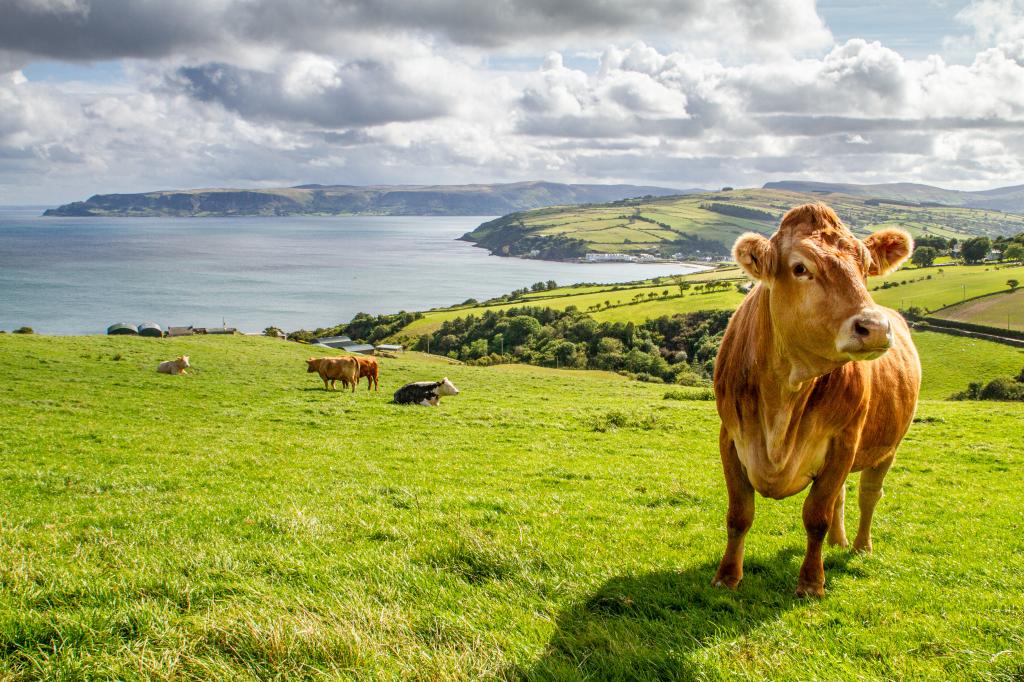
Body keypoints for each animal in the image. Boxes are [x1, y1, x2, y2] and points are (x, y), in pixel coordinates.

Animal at [712, 201, 921, 593]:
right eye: (800, 268)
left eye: (866, 268)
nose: (874, 328)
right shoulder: (730, 437)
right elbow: (739, 514)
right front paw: (727, 576)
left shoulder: (843, 442)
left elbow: (816, 516)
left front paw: (811, 583)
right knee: (842, 495)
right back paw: (839, 542)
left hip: (888, 446)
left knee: (868, 494)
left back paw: (860, 546)